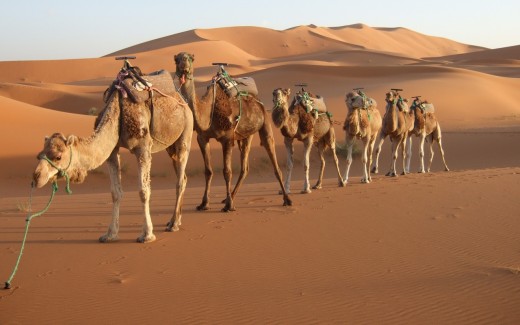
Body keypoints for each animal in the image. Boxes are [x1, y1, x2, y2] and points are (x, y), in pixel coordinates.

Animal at [32, 66, 193, 243]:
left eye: (58, 157)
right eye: (39, 155)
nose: (36, 177)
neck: (118, 112)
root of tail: (183, 101)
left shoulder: (143, 148)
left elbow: (143, 191)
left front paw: (147, 234)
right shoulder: (112, 151)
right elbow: (115, 192)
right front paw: (110, 234)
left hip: (186, 132)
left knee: (180, 179)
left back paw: (174, 224)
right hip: (170, 146)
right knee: (183, 176)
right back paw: (174, 220)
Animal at [173, 52, 290, 210]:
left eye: (191, 58)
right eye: (176, 59)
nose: (184, 64)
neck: (207, 111)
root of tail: (258, 100)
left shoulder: (227, 139)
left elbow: (227, 172)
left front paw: (228, 206)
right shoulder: (202, 138)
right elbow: (208, 171)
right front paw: (204, 203)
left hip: (265, 125)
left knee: (274, 165)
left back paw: (287, 199)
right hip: (245, 136)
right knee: (245, 168)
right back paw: (230, 197)